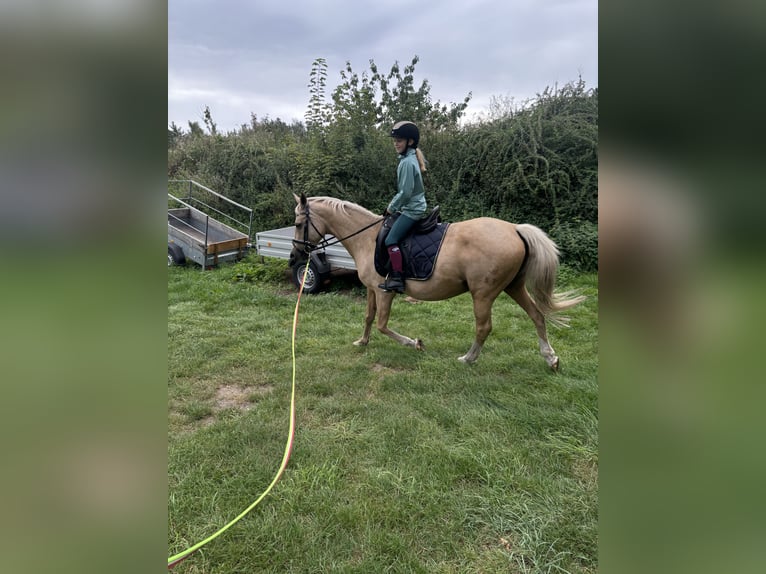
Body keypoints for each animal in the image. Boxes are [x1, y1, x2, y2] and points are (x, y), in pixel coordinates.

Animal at [290, 195, 588, 368]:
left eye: (298, 223)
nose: (296, 254)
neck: (367, 238)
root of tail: (515, 229)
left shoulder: (385, 292)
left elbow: (383, 325)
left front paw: (415, 343)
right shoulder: (373, 290)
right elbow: (368, 318)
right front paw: (362, 342)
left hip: (483, 294)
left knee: (484, 327)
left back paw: (468, 358)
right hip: (514, 286)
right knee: (537, 315)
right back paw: (550, 358)